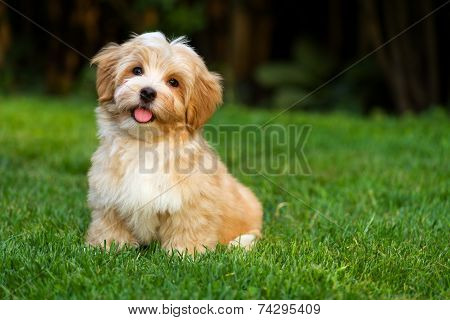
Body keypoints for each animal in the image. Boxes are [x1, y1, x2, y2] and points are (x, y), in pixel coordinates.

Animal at [85, 32, 262, 252]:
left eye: (173, 82)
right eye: (137, 70)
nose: (147, 92)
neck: (146, 143)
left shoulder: (191, 200)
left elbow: (188, 225)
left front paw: (184, 252)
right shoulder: (109, 194)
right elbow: (109, 223)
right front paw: (107, 246)